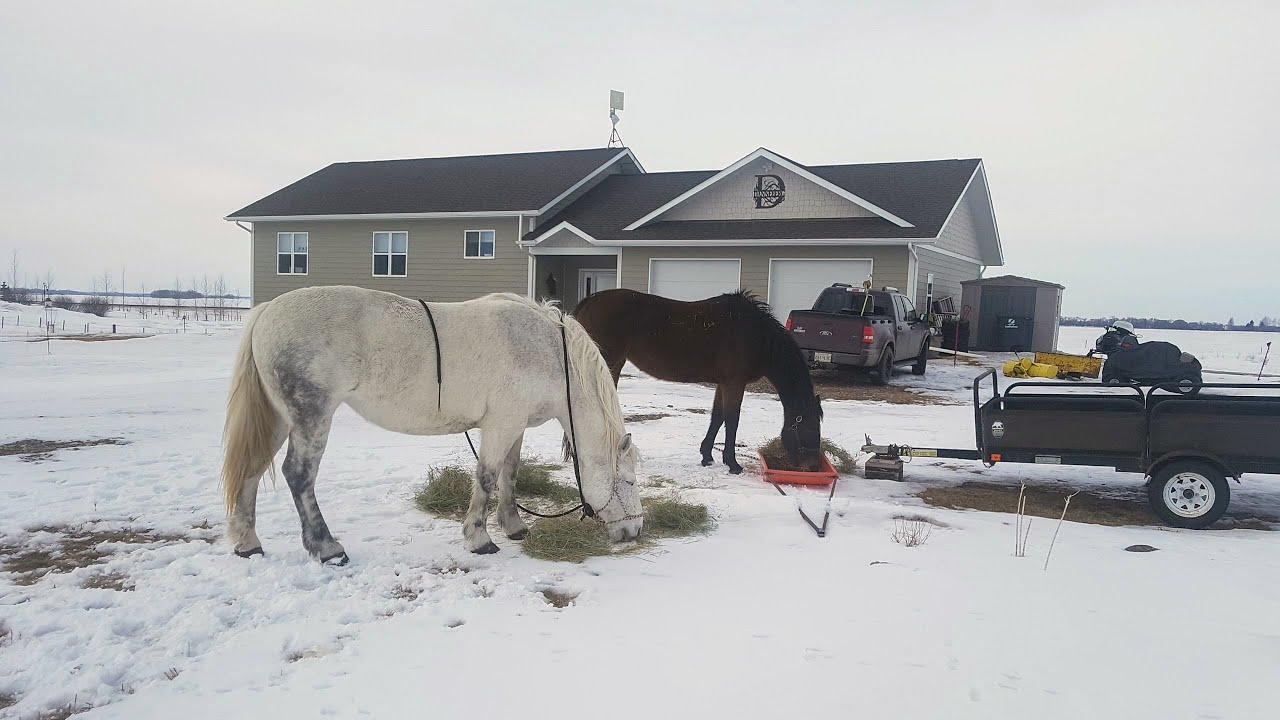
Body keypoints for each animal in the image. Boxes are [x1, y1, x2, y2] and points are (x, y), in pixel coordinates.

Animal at [220, 286, 643, 563]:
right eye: (630, 482)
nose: (635, 531)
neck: (549, 351)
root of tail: (267, 311)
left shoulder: (516, 425)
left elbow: (510, 475)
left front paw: (513, 525)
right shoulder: (501, 424)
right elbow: (487, 477)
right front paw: (479, 538)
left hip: (278, 419)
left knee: (252, 470)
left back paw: (248, 543)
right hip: (312, 416)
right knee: (299, 475)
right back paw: (326, 548)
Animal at [573, 288, 823, 474]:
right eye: (811, 427)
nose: (813, 467)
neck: (757, 336)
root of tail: (591, 300)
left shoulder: (724, 383)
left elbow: (717, 417)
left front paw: (707, 456)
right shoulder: (735, 383)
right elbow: (732, 420)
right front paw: (733, 464)